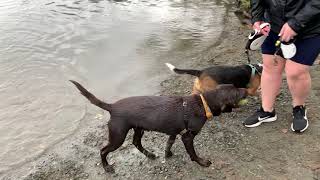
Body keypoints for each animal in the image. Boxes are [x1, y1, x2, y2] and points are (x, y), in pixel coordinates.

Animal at [69, 80, 245, 173]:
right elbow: (193, 153)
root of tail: (112, 107)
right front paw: (202, 162)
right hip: (118, 135)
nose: (246, 89)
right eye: (236, 92)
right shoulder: (187, 136)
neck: (203, 103)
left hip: (138, 129)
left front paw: (168, 154)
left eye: (236, 87)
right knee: (103, 150)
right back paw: (107, 167)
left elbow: (168, 145)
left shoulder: (174, 132)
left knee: (136, 143)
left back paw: (150, 155)